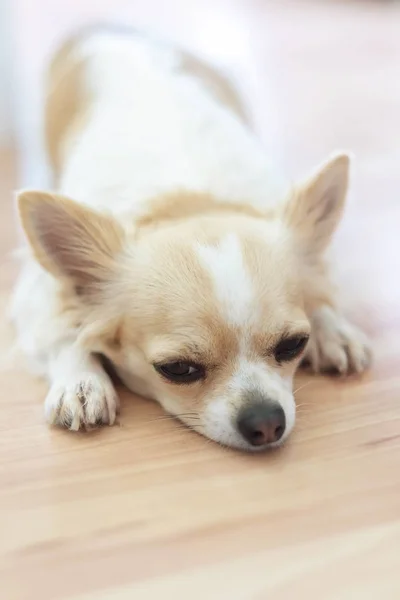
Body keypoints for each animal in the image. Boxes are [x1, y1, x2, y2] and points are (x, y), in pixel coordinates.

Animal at [10, 27, 370, 450]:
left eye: (293, 344)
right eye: (178, 369)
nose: (266, 422)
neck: (188, 201)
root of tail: (108, 27)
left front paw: (334, 330)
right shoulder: (35, 293)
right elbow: (63, 331)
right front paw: (81, 381)